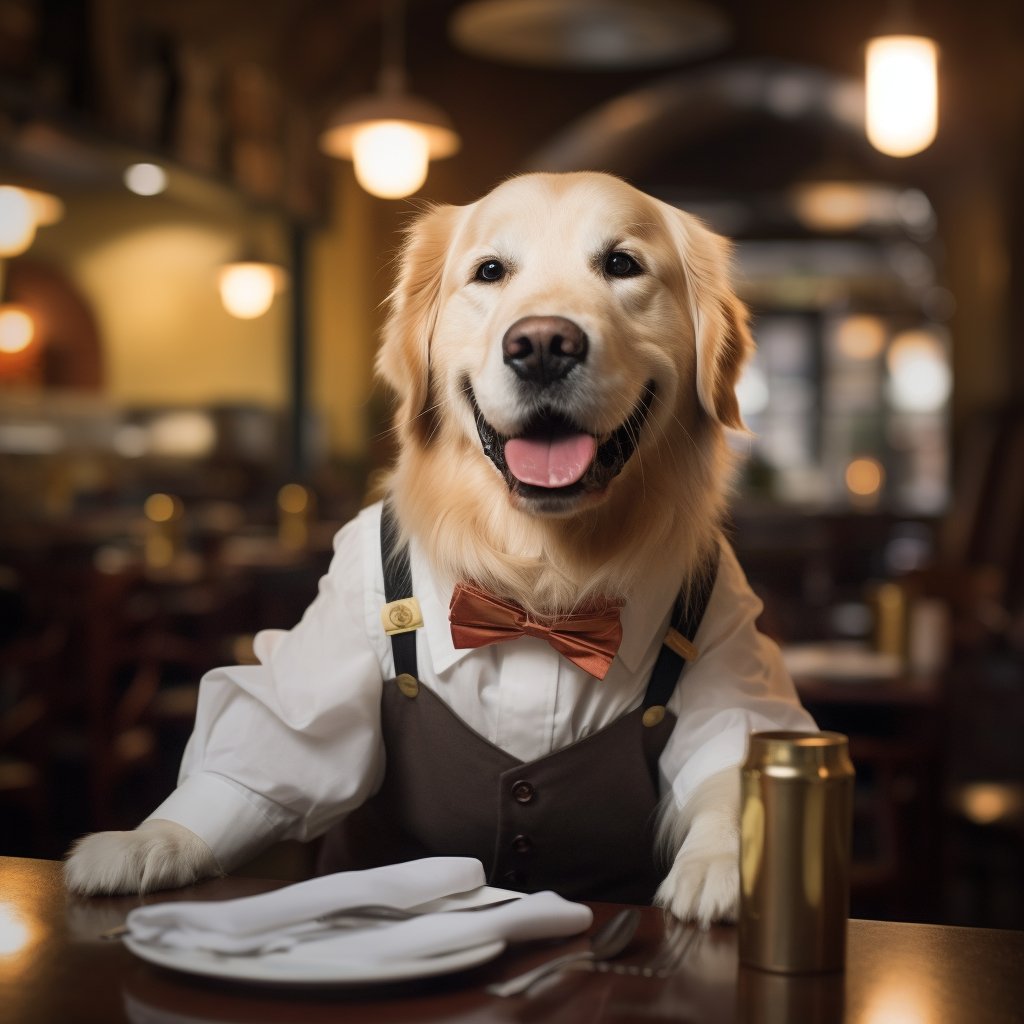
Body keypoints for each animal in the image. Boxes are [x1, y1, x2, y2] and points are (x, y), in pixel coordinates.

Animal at [68, 172, 811, 925]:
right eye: (489, 272)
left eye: (622, 264)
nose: (544, 344)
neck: (538, 573)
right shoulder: (345, 601)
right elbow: (271, 750)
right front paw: (149, 840)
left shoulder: (726, 631)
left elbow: (731, 760)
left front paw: (729, 866)